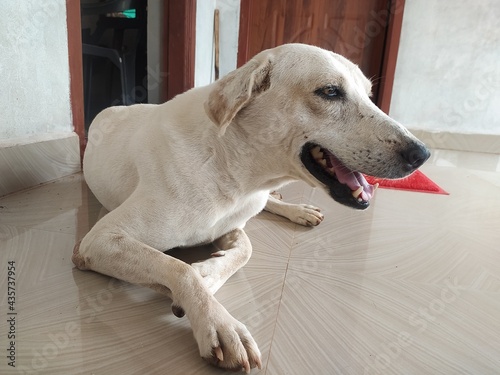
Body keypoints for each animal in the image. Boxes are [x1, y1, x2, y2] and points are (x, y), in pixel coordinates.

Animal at [73, 44, 430, 374]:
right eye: (330, 91)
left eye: (369, 95)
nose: (422, 154)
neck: (232, 169)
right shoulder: (98, 241)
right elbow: (179, 268)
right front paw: (219, 323)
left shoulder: (234, 224)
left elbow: (244, 250)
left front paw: (208, 273)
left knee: (266, 204)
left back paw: (297, 209)